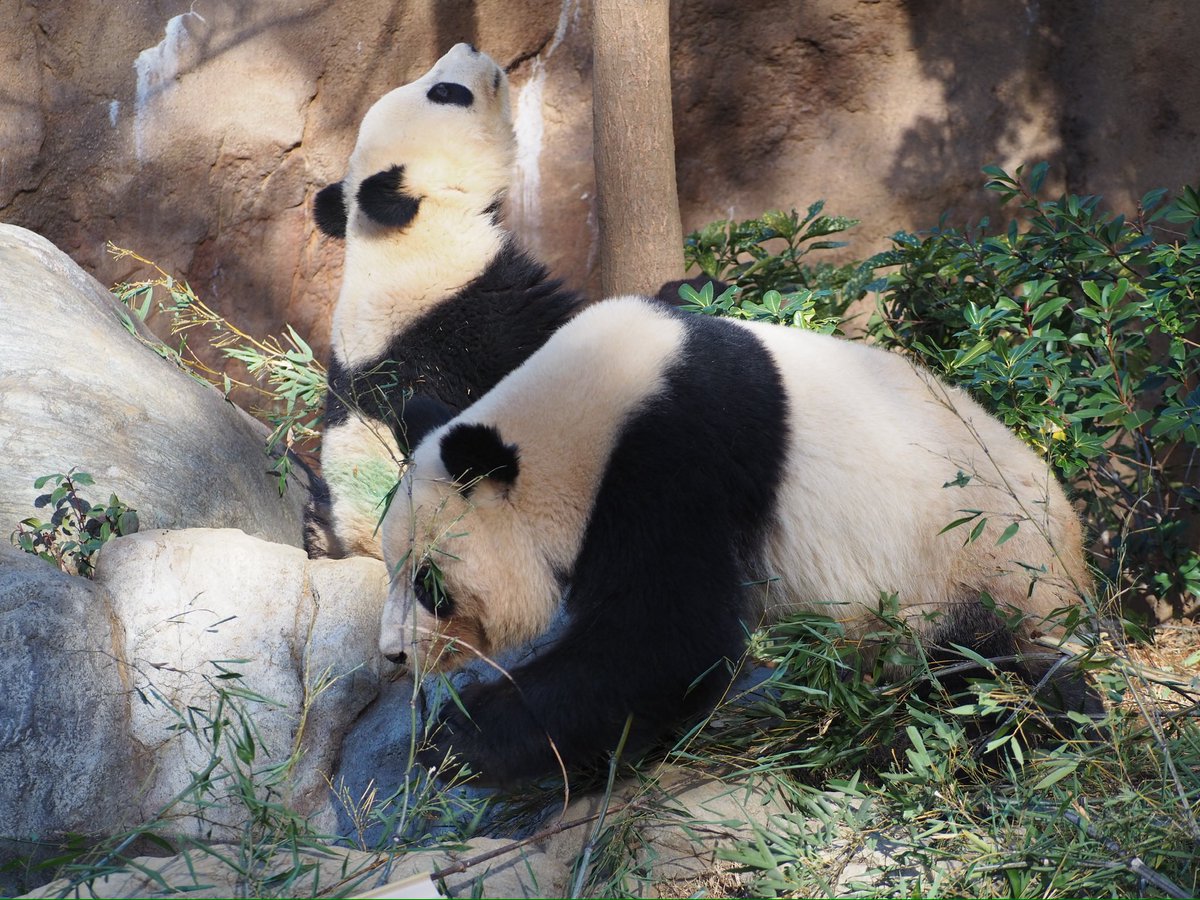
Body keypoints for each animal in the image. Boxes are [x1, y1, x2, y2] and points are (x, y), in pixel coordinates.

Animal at [376, 300, 1099, 787]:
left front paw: (459, 736)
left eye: (430, 585)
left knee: (993, 675)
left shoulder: (675, 455)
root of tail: (1079, 556)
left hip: (979, 567)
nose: (393, 656)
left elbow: (664, 643)